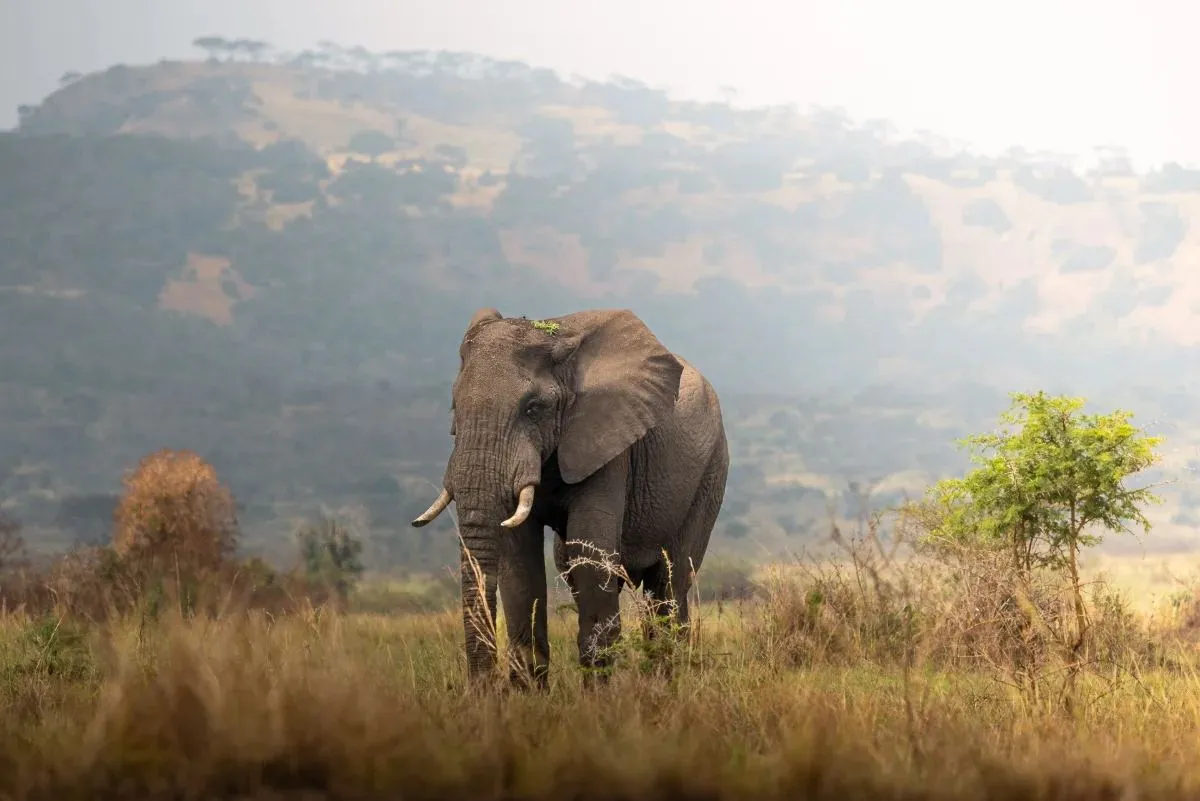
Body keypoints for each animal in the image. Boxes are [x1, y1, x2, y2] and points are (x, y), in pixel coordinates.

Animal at [411, 307, 730, 689]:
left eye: (533, 408)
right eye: (454, 408)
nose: (482, 691)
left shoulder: (608, 441)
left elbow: (590, 550)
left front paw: (598, 695)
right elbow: (519, 561)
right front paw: (528, 696)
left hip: (711, 472)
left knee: (671, 581)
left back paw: (665, 683)